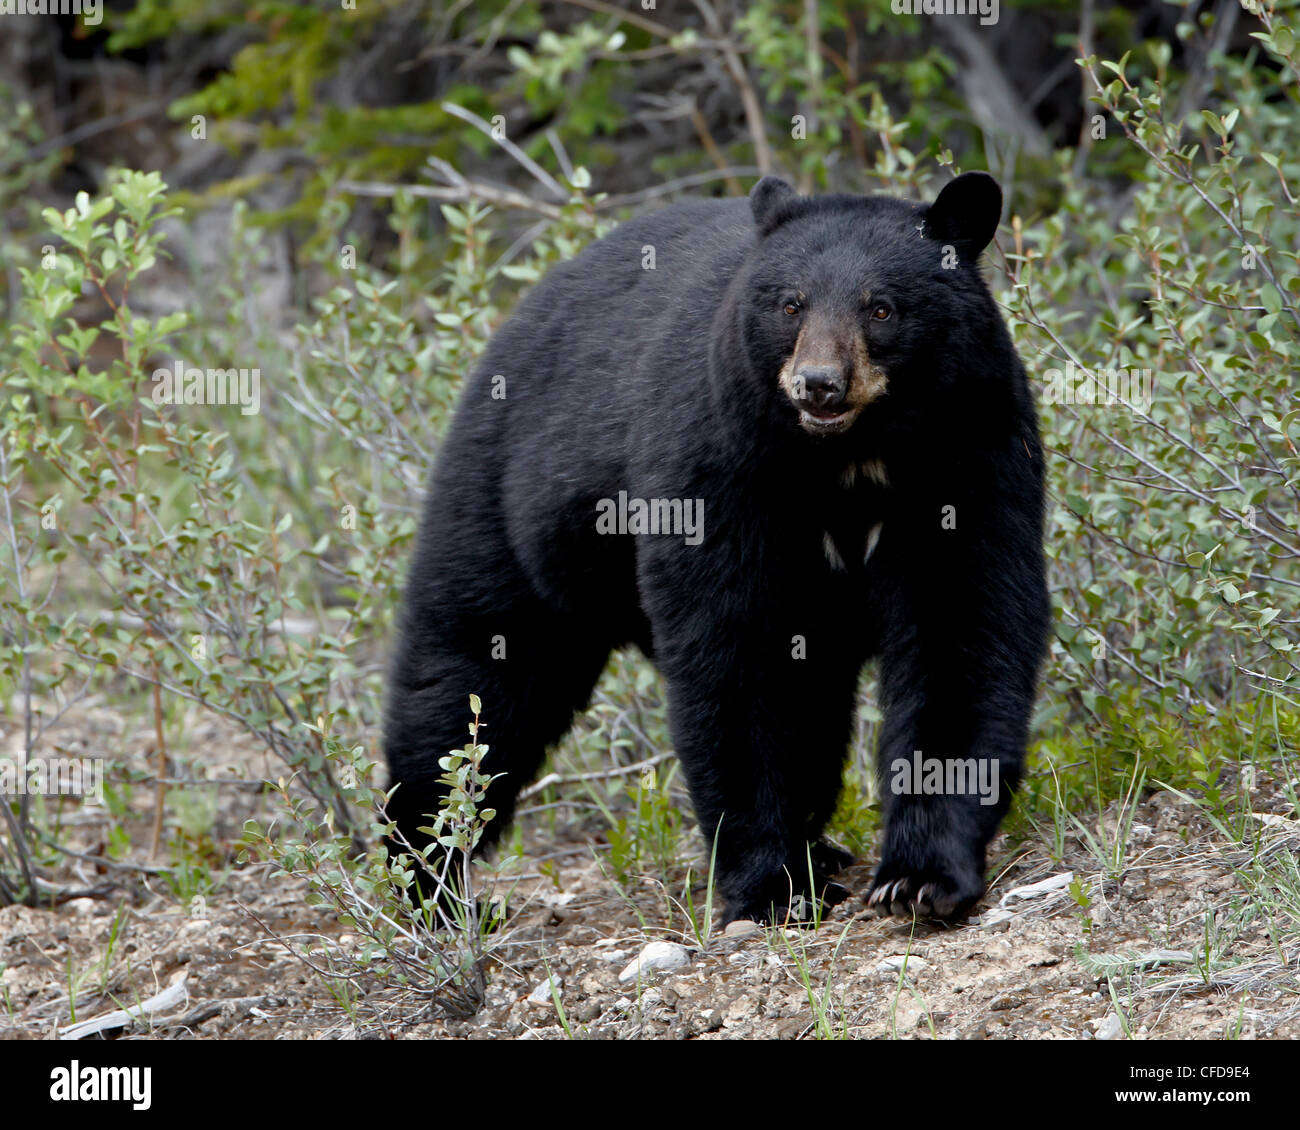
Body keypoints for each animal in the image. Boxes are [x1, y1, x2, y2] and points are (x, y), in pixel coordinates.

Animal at [379, 170, 1050, 925]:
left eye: (882, 308)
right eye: (790, 304)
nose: (820, 383)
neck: (847, 462)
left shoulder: (970, 450)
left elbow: (962, 622)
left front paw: (920, 877)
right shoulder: (721, 466)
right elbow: (737, 650)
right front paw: (773, 886)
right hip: (507, 503)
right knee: (472, 677)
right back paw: (426, 879)